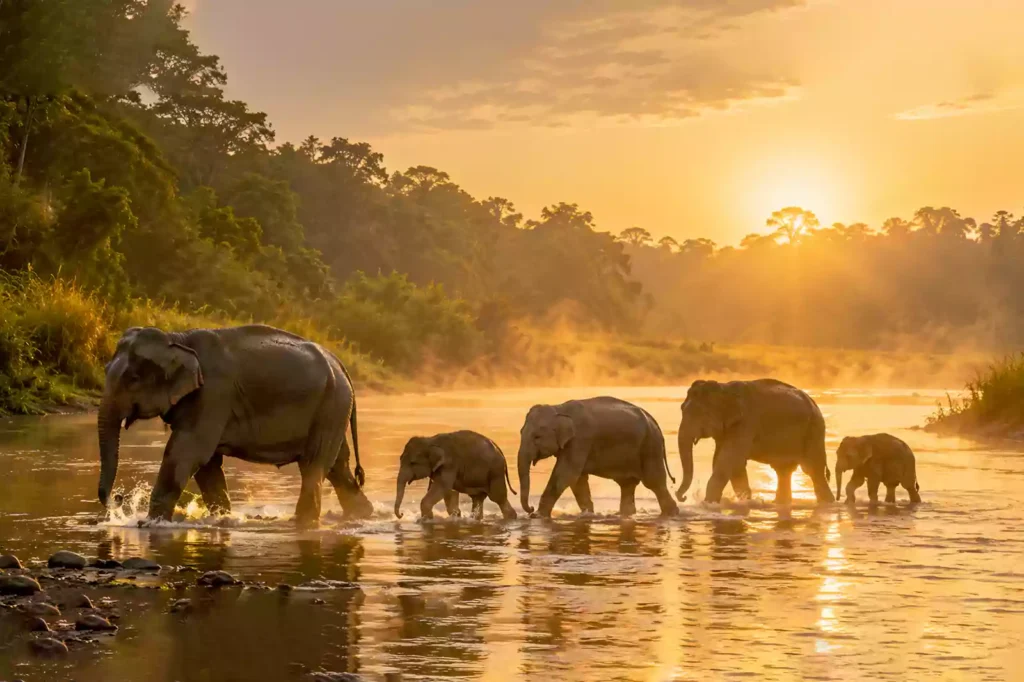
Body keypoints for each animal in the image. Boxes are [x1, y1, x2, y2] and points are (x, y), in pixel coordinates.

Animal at [97, 325, 373, 527]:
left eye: (133, 379)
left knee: (314, 465)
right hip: (333, 407)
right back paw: (362, 514)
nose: (118, 498)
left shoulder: (213, 395)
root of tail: (339, 363)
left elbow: (186, 453)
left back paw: (304, 521)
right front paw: (222, 518)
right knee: (338, 466)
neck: (176, 339)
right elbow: (206, 464)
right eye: (105, 369)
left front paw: (150, 523)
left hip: (332, 403)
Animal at [517, 397, 682, 518]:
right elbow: (578, 479)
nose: (531, 508)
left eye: (537, 437)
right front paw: (588, 513)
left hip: (650, 446)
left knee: (654, 483)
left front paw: (538, 516)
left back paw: (672, 513)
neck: (559, 408)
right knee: (628, 484)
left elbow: (566, 474)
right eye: (521, 432)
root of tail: (654, 422)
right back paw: (624, 514)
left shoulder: (580, 440)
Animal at [676, 379, 835, 505]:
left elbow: (728, 461)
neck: (724, 388)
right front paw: (745, 500)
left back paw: (827, 502)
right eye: (681, 409)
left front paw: (708, 504)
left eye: (700, 413)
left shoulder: (745, 424)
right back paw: (780, 503)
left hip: (815, 430)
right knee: (784, 470)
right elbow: (731, 463)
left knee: (813, 469)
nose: (682, 497)